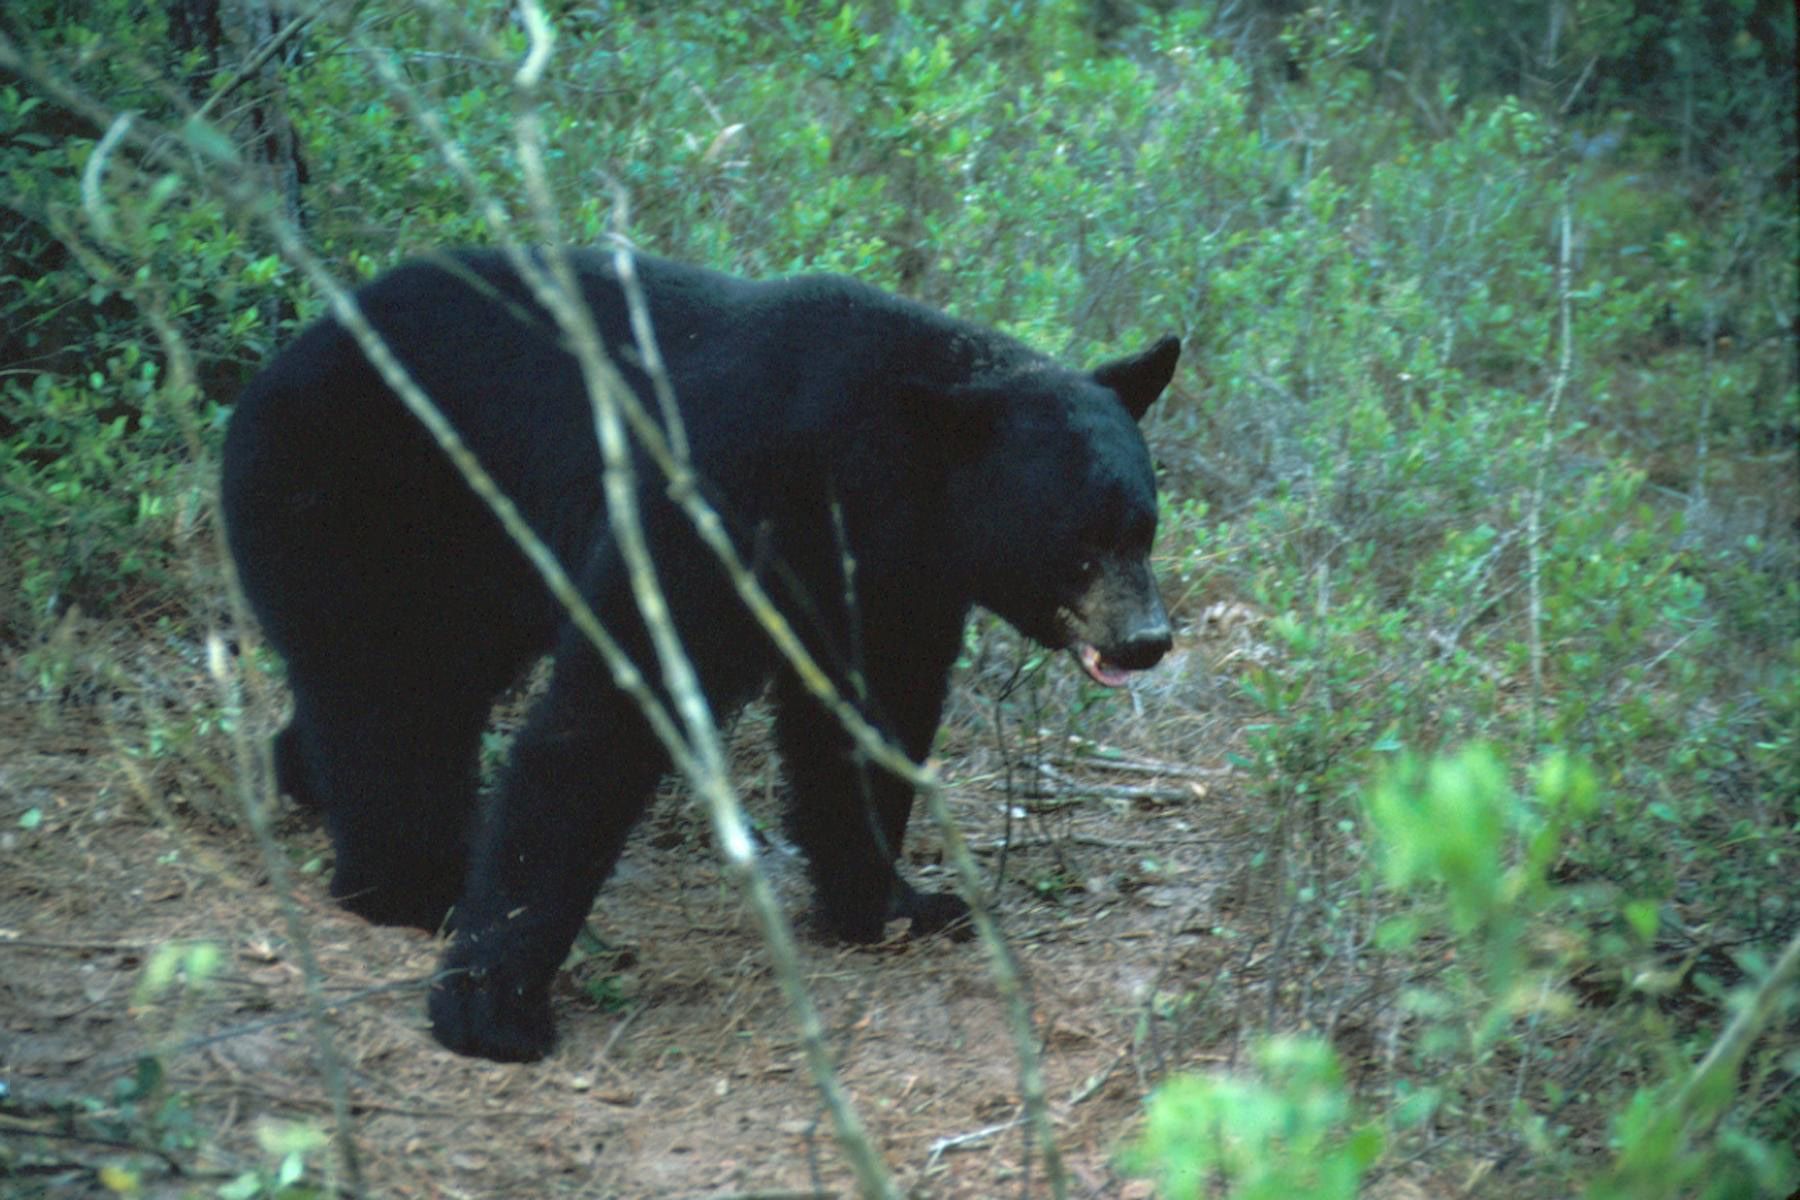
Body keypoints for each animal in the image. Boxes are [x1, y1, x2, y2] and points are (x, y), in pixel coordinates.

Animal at [221, 251, 1180, 1057]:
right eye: (1080, 546)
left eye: (1144, 526)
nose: (1147, 640)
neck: (860, 469)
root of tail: (270, 370)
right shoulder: (715, 500)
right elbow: (606, 714)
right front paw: (493, 1003)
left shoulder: (884, 583)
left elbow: (866, 723)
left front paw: (896, 902)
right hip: (363, 496)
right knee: (387, 691)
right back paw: (409, 884)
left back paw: (314, 785)